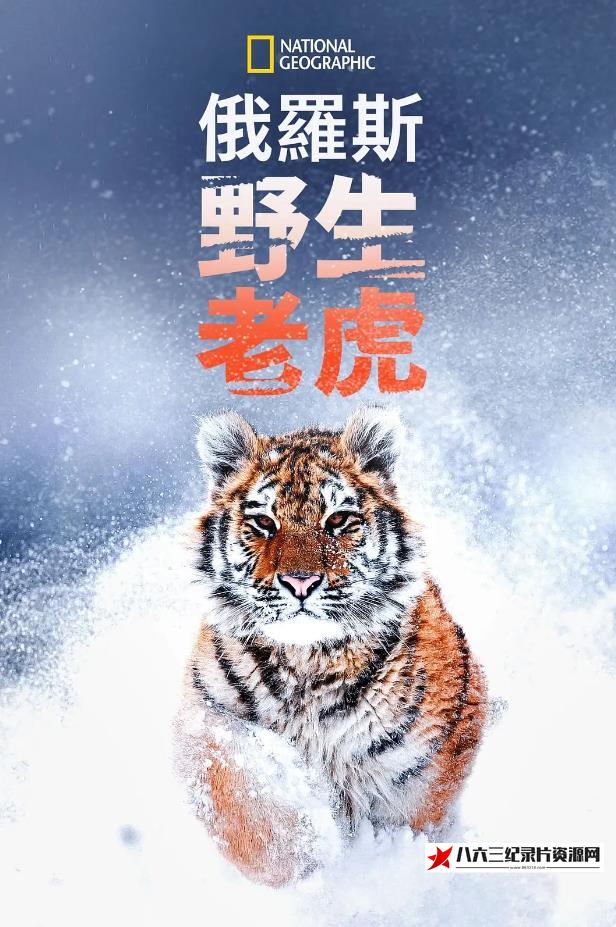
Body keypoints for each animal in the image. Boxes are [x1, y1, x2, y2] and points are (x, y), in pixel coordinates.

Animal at [174, 406, 487, 887]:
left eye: (337, 520)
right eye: (264, 523)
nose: (300, 582)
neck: (307, 661)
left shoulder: (426, 760)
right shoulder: (204, 716)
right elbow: (237, 791)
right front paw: (304, 855)